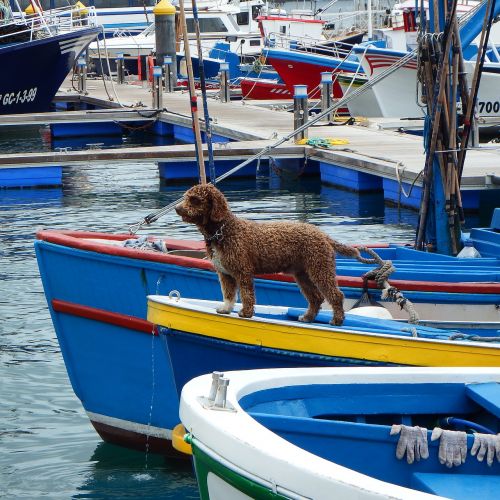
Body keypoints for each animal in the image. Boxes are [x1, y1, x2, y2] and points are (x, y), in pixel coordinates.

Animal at [177, 183, 376, 324]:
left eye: (195, 199)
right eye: (186, 197)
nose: (178, 208)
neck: (223, 231)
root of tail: (322, 235)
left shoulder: (242, 271)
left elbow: (247, 294)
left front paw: (246, 313)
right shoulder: (224, 273)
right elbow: (228, 294)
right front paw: (226, 309)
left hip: (320, 268)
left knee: (335, 295)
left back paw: (337, 320)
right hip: (303, 274)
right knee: (316, 297)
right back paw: (307, 317)